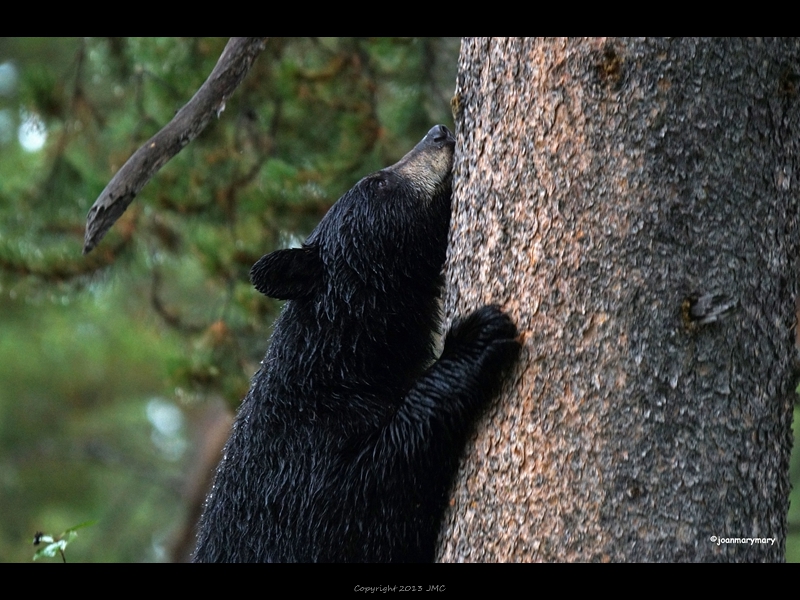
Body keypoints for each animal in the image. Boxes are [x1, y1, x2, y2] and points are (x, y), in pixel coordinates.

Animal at [193, 124, 520, 560]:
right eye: (376, 183)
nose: (439, 132)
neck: (341, 365)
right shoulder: (302, 463)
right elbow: (370, 496)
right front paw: (475, 339)